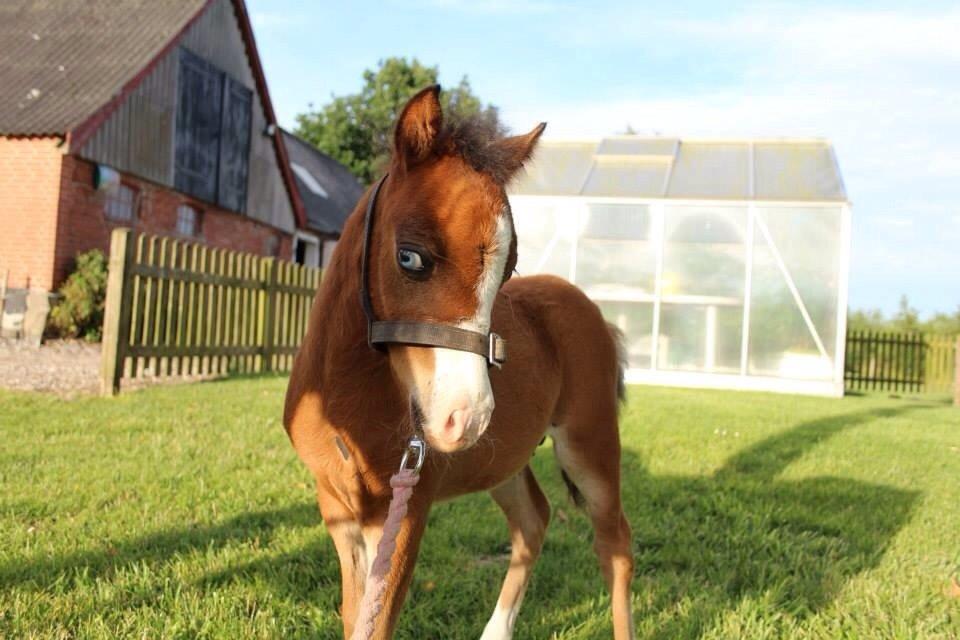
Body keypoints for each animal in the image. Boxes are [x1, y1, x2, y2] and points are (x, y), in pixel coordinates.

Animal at [282, 86, 632, 640]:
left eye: (508, 269)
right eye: (410, 257)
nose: (465, 418)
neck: (344, 400)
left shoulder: (406, 509)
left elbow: (374, 624)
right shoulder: (338, 510)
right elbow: (355, 615)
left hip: (589, 443)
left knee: (615, 544)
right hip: (505, 460)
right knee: (534, 520)